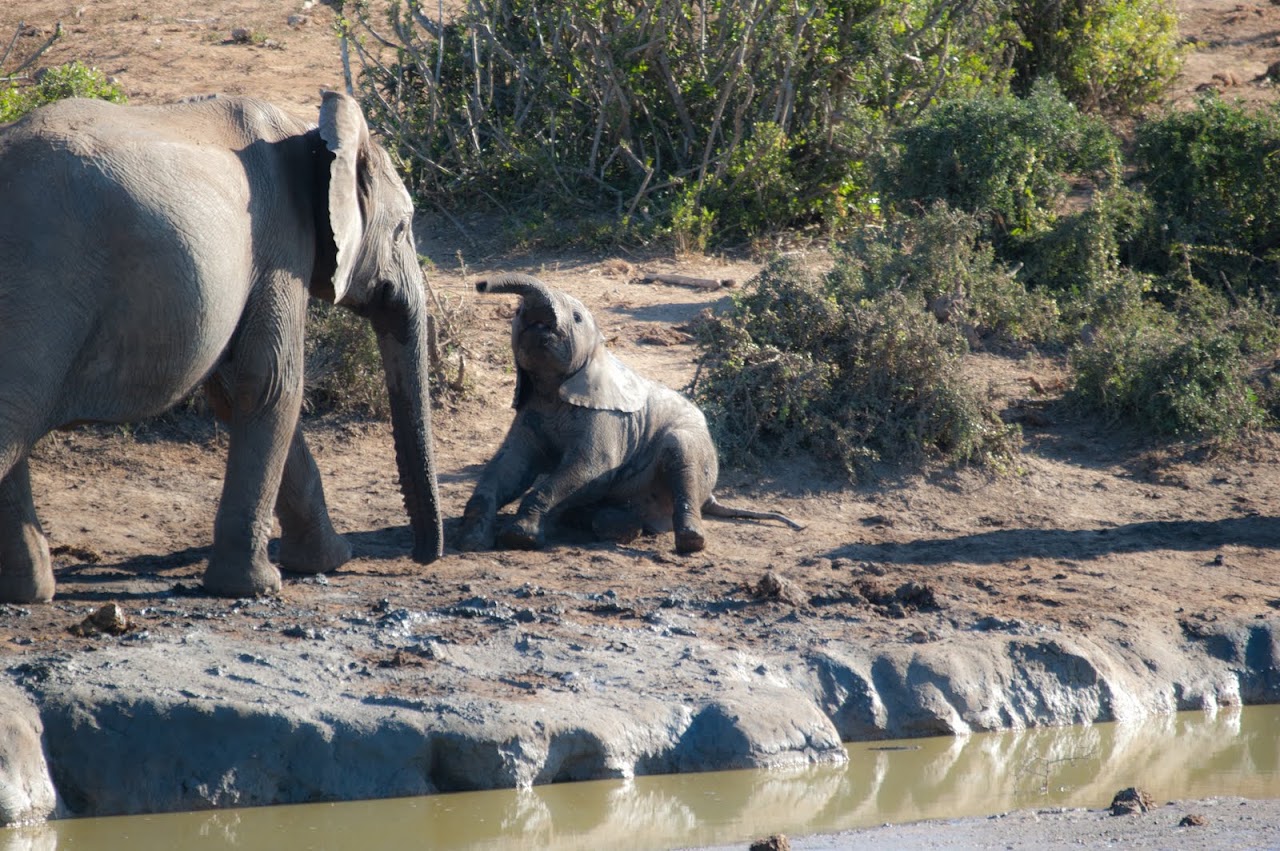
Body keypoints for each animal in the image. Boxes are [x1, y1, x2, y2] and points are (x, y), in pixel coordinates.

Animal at [0, 91, 443, 603]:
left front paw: (328, 560)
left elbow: (236, 393)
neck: (313, 136)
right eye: (402, 229)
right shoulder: (280, 244)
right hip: (39, 289)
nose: (422, 557)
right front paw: (258, 587)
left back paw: (29, 593)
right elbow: (271, 384)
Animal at [456, 273, 802, 554]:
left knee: (681, 454)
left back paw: (687, 542)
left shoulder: (606, 418)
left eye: (577, 318)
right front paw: (472, 540)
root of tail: (711, 498)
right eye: (516, 314)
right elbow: (510, 467)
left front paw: (519, 539)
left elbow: (590, 468)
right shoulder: (529, 412)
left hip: (696, 449)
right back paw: (612, 527)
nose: (480, 284)